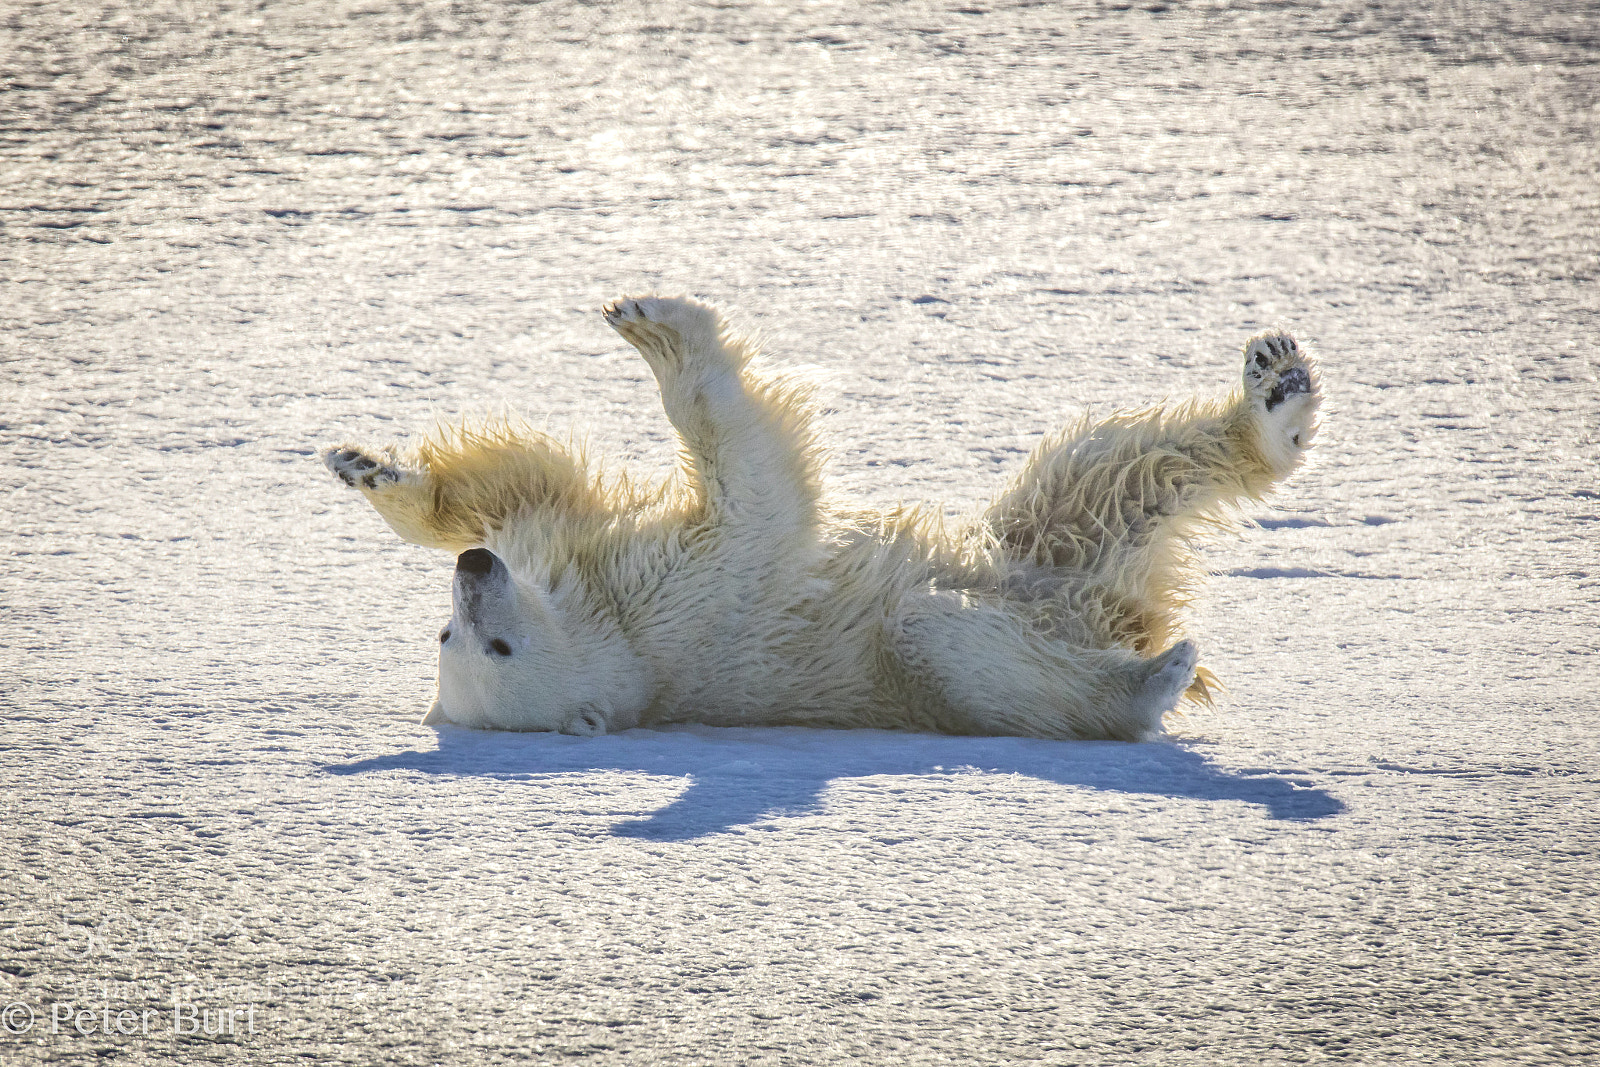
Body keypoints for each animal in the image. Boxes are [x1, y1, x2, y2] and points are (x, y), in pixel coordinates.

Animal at [324, 295, 1320, 741]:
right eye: (482, 647)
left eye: (447, 634)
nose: (475, 574)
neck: (608, 625)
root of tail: (1125, 612)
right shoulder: (681, 599)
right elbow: (751, 487)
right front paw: (666, 332)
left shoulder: (566, 551)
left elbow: (518, 485)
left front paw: (368, 469)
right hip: (947, 652)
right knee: (964, 641)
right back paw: (1154, 677)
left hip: (1042, 540)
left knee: (1105, 470)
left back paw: (1275, 385)